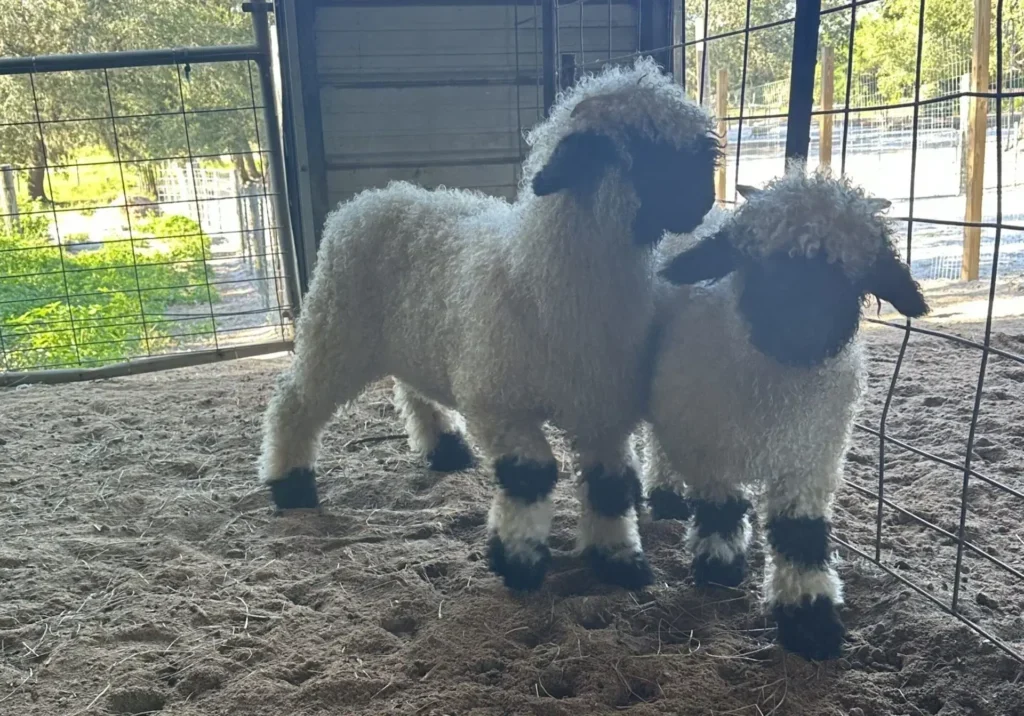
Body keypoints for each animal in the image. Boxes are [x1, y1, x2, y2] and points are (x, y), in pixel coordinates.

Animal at [258, 57, 720, 593]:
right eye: (648, 151)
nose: (706, 201)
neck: (542, 274)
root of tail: (369, 199)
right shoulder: (500, 404)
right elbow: (530, 476)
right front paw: (518, 560)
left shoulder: (603, 408)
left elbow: (612, 485)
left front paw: (619, 560)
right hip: (336, 327)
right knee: (295, 400)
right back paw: (290, 485)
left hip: (417, 334)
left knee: (413, 386)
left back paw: (446, 449)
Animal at [643, 166, 929, 660]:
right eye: (762, 263)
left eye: (850, 273)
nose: (804, 331)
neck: (777, 391)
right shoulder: (707, 444)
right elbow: (720, 506)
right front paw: (718, 565)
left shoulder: (811, 460)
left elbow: (800, 534)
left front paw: (810, 620)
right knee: (655, 442)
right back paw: (664, 496)